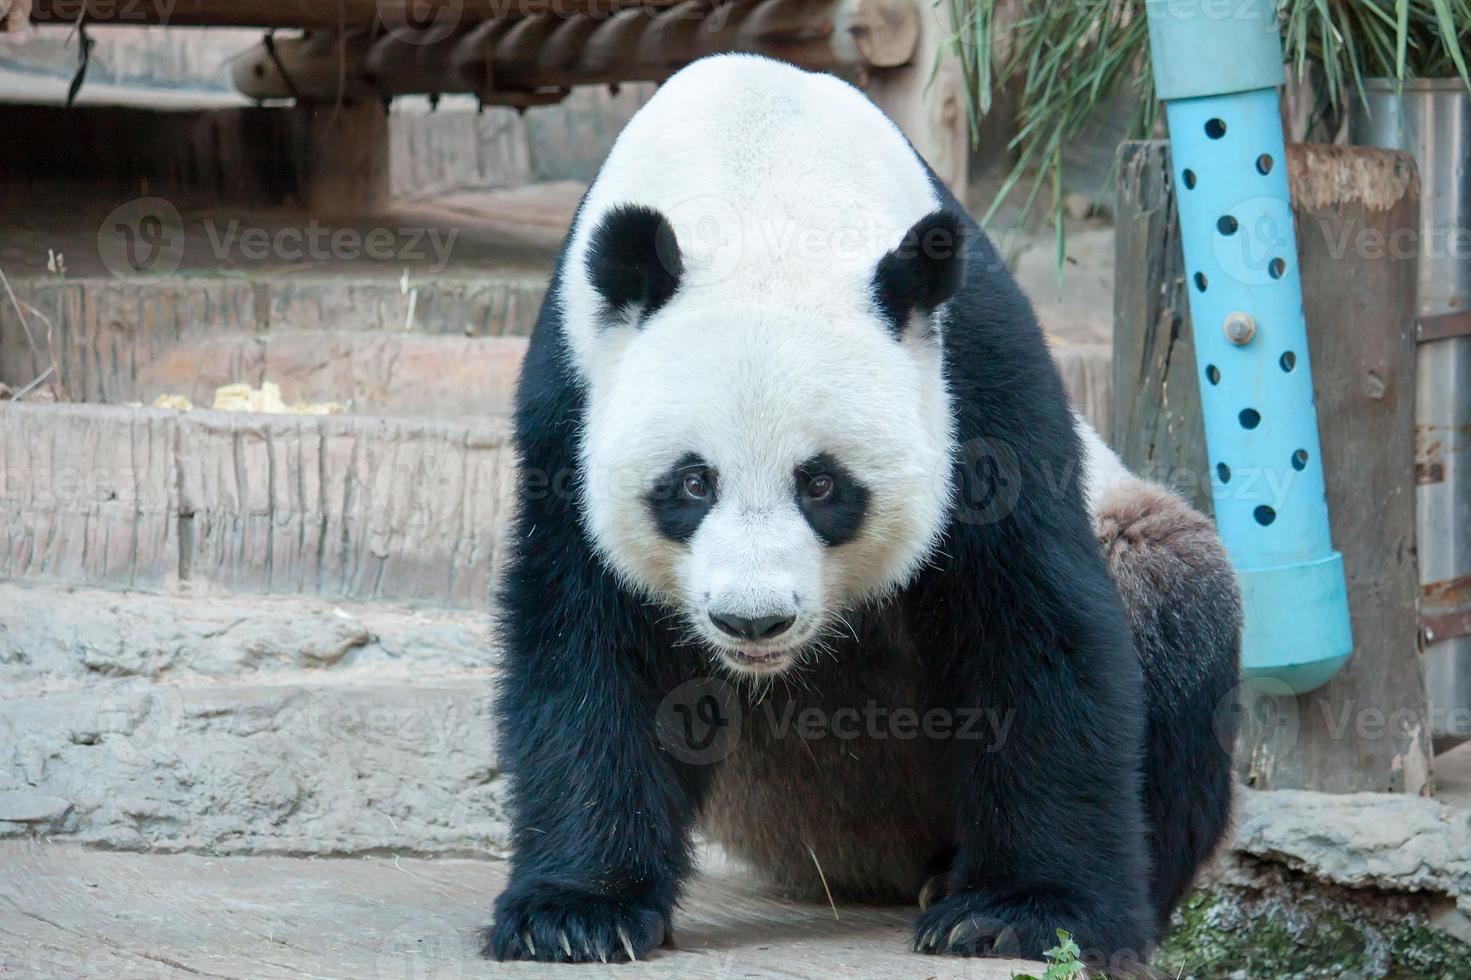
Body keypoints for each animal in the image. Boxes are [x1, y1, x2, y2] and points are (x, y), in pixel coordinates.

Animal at [485, 51, 1241, 959]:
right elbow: (586, 640)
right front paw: (574, 914)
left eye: (821, 485)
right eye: (692, 484)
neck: (761, 173)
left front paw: (1018, 912)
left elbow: (1031, 618)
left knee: (1171, 597)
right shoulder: (573, 392)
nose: (752, 620)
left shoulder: (972, 373)